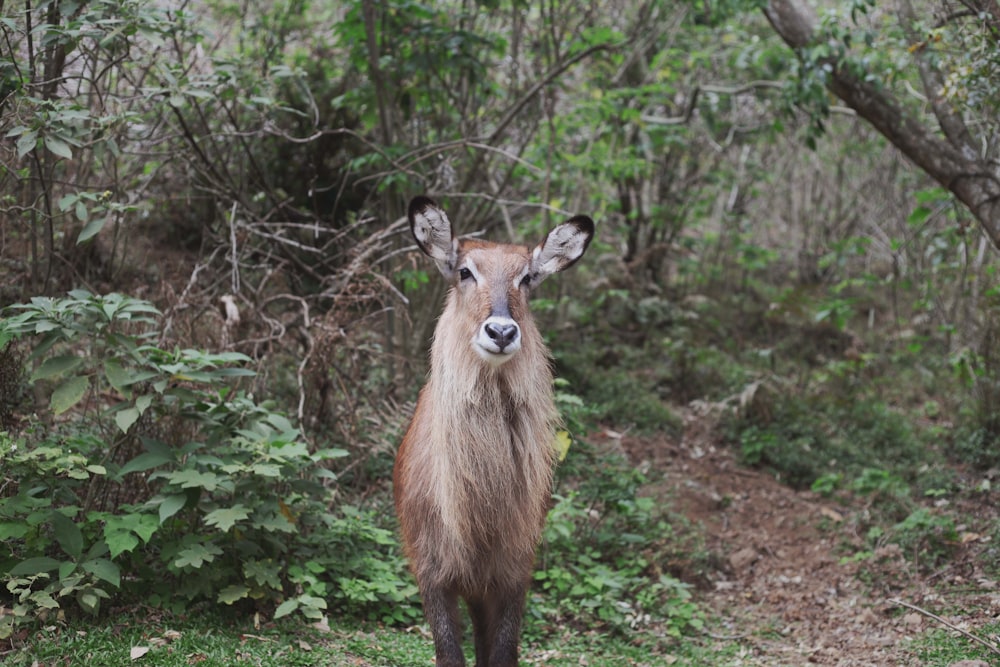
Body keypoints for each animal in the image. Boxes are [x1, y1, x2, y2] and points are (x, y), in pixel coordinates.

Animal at [390, 196, 592, 664]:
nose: (501, 331)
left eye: (527, 278)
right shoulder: (431, 573)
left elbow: (501, 653)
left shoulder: (512, 574)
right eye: (465, 271)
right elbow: (449, 653)